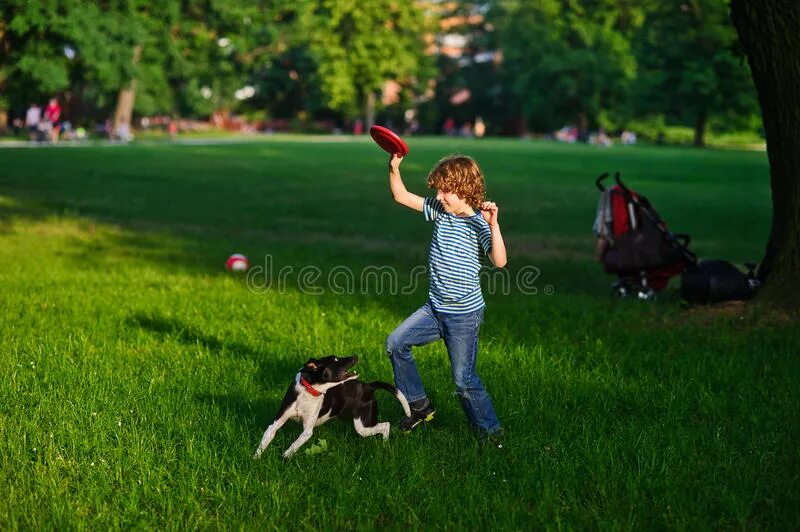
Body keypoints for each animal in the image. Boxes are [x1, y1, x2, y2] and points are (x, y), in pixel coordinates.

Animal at [252, 356, 412, 460]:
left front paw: (286, 455)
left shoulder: (307, 431)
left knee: (386, 425)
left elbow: (295, 444)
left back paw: (385, 446)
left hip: (363, 425)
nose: (356, 355)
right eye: (335, 360)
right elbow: (265, 440)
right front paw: (255, 459)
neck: (309, 390)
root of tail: (368, 387)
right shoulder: (276, 423)